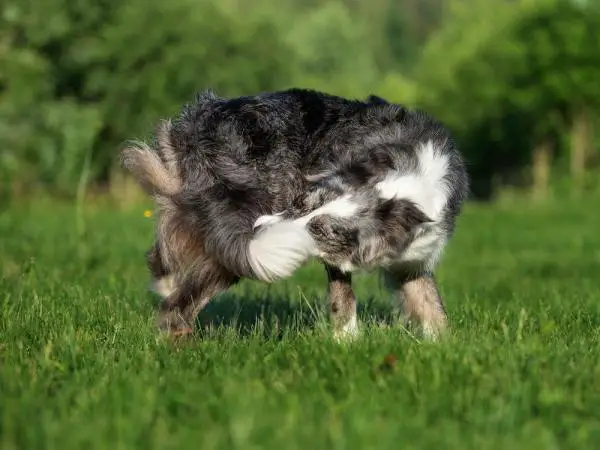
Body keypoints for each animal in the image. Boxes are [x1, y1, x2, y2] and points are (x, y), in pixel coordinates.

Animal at [120, 89, 468, 342]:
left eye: (321, 230)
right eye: (302, 204)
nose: (261, 225)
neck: (409, 184)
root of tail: (198, 122)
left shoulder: (413, 260)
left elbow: (431, 304)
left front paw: (444, 349)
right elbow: (343, 298)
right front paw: (347, 343)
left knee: (163, 256)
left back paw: (166, 283)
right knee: (177, 308)